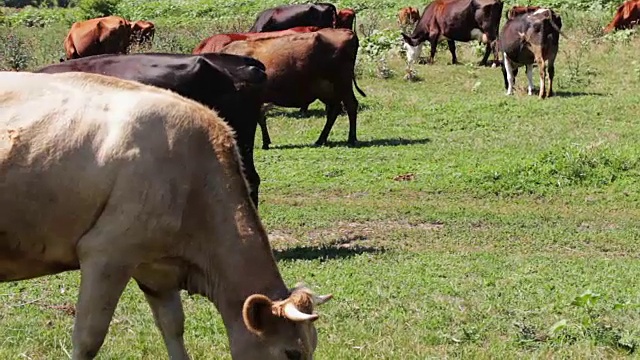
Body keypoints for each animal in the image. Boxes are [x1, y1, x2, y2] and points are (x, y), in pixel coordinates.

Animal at [220, 27, 368, 149]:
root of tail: (347, 31)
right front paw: (266, 142)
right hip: (328, 89)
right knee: (334, 110)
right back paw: (321, 139)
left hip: (342, 84)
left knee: (351, 106)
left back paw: (351, 139)